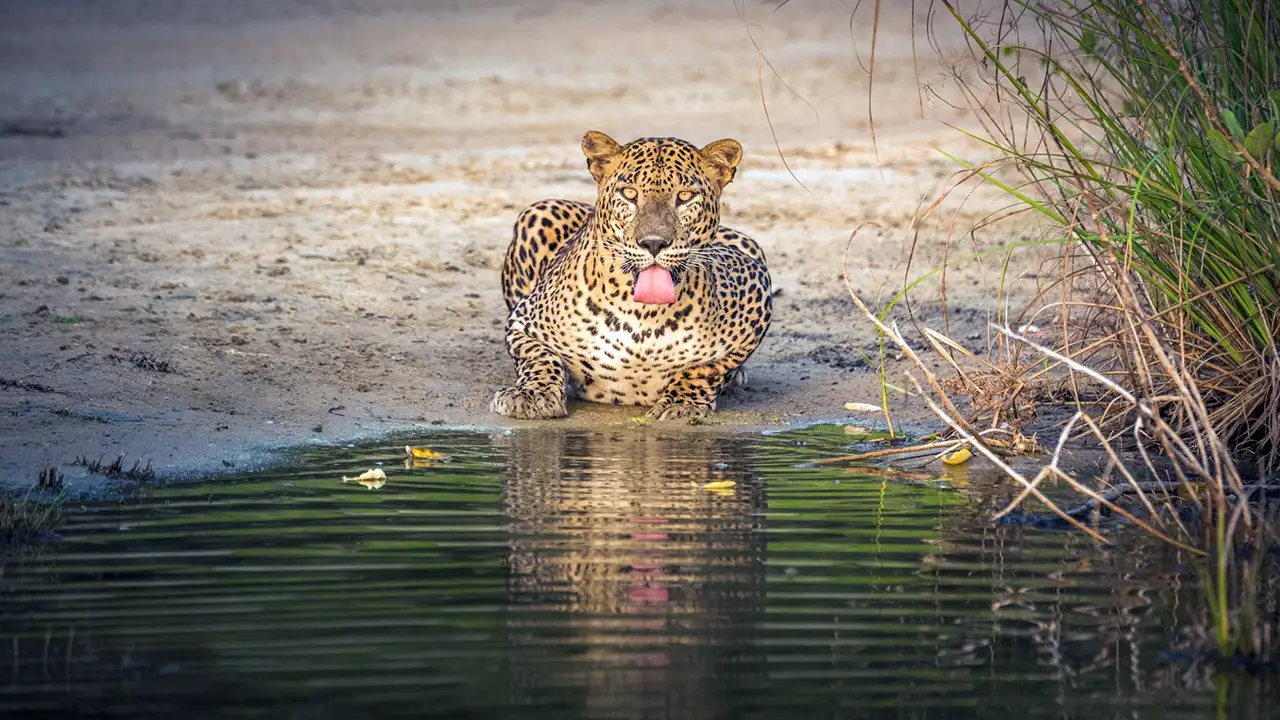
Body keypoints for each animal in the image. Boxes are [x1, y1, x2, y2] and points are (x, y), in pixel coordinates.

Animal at [490, 130, 772, 421]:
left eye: (684, 197)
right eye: (629, 194)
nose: (654, 243)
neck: (643, 315)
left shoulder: (756, 287)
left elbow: (707, 368)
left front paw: (681, 404)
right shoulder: (523, 321)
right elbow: (540, 357)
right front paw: (532, 395)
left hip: (748, 243)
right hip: (538, 211)